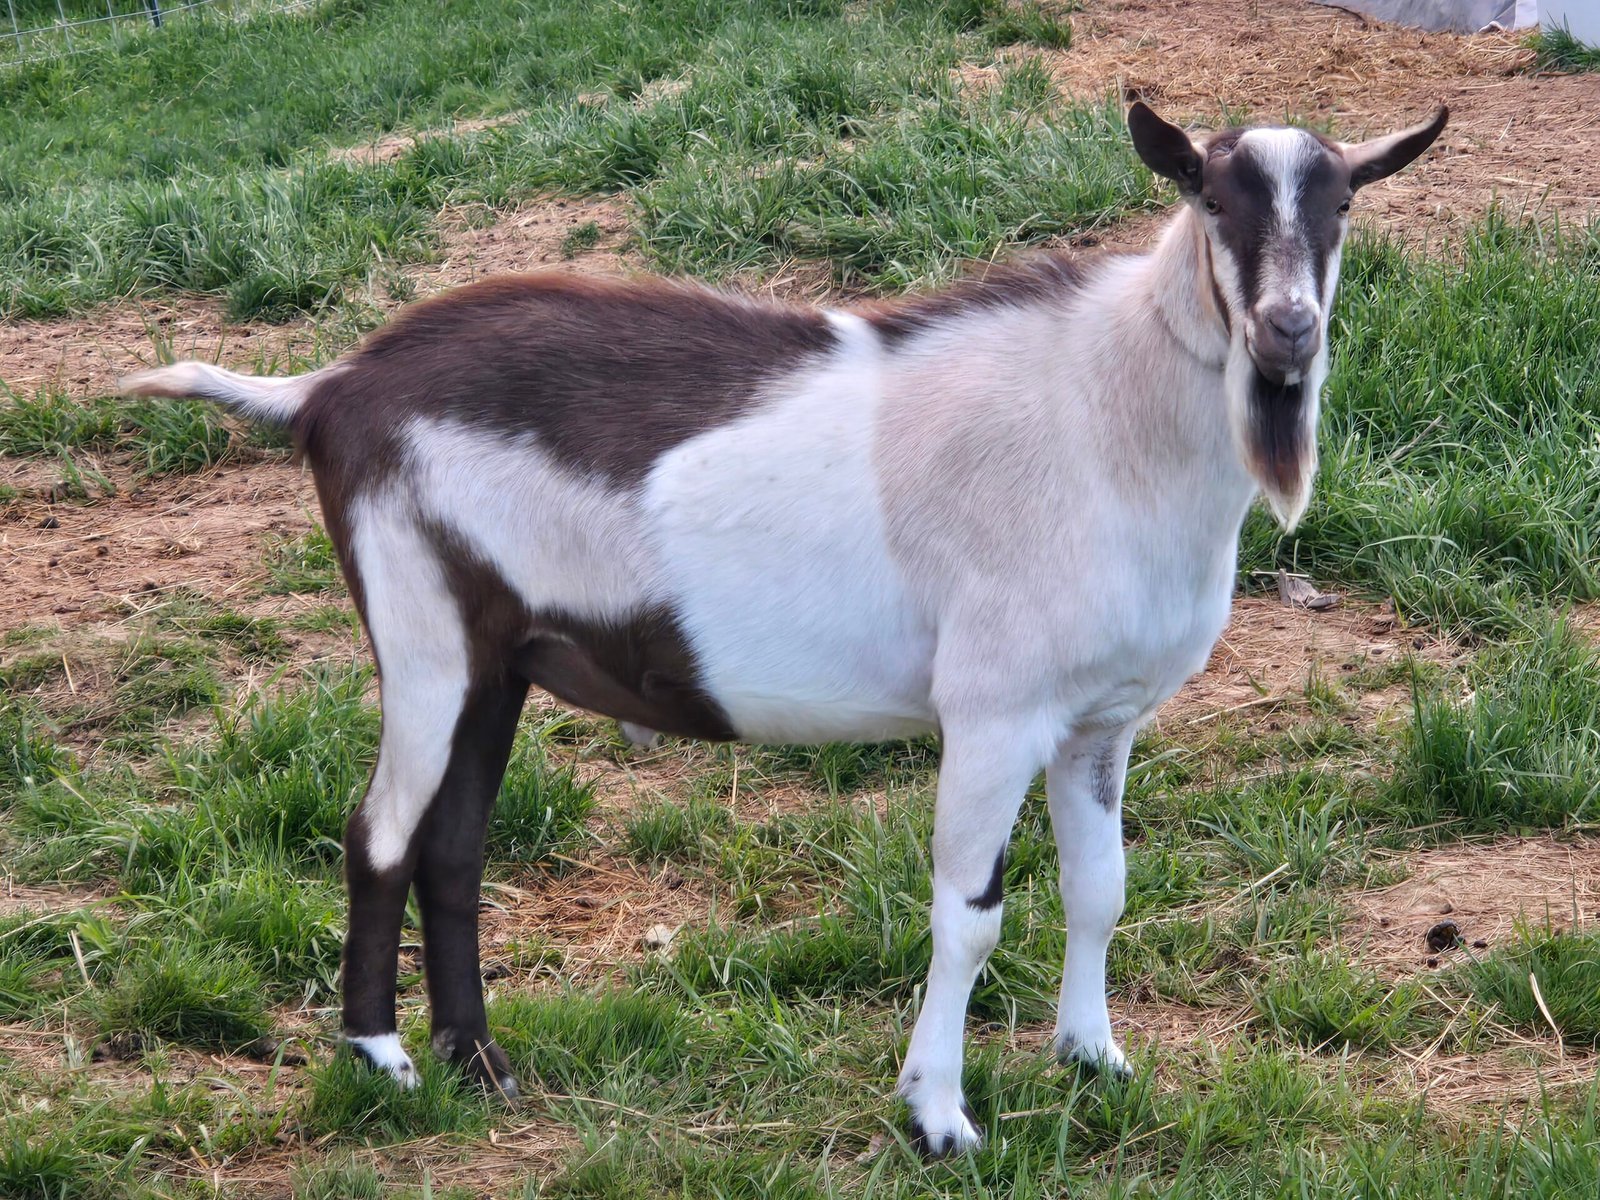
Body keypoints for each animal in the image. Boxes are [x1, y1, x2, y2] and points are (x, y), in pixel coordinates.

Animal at [121, 101, 1446, 1156]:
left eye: (1341, 201)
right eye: (1210, 195)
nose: (1286, 329)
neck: (1104, 415)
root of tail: (331, 389)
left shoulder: (1097, 721)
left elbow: (1099, 891)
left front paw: (1094, 1061)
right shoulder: (992, 711)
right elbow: (970, 915)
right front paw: (939, 1117)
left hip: (497, 664)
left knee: (453, 843)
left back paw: (477, 1064)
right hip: (424, 636)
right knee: (381, 831)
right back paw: (383, 1062)